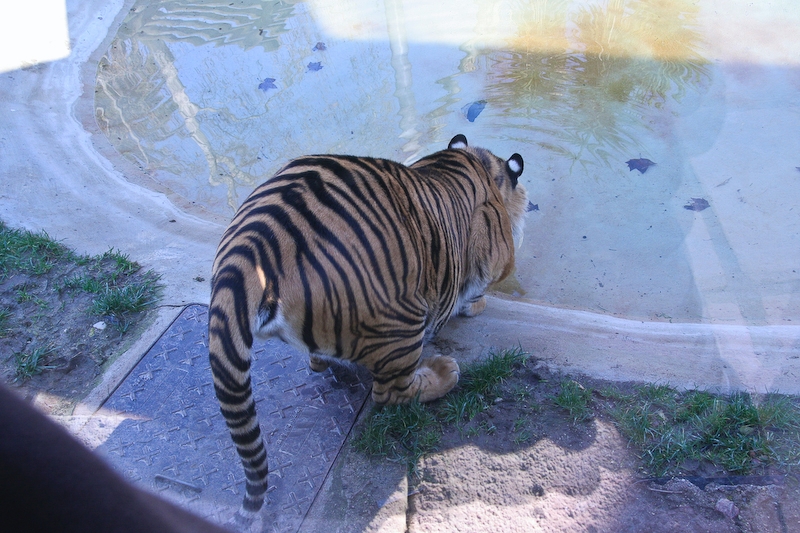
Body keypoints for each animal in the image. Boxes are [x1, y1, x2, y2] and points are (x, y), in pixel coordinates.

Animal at [208, 134, 528, 519]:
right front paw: (475, 304)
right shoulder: (495, 255)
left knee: (323, 361)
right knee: (391, 393)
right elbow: (479, 286)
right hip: (405, 321)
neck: (477, 162)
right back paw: (443, 374)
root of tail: (249, 250)